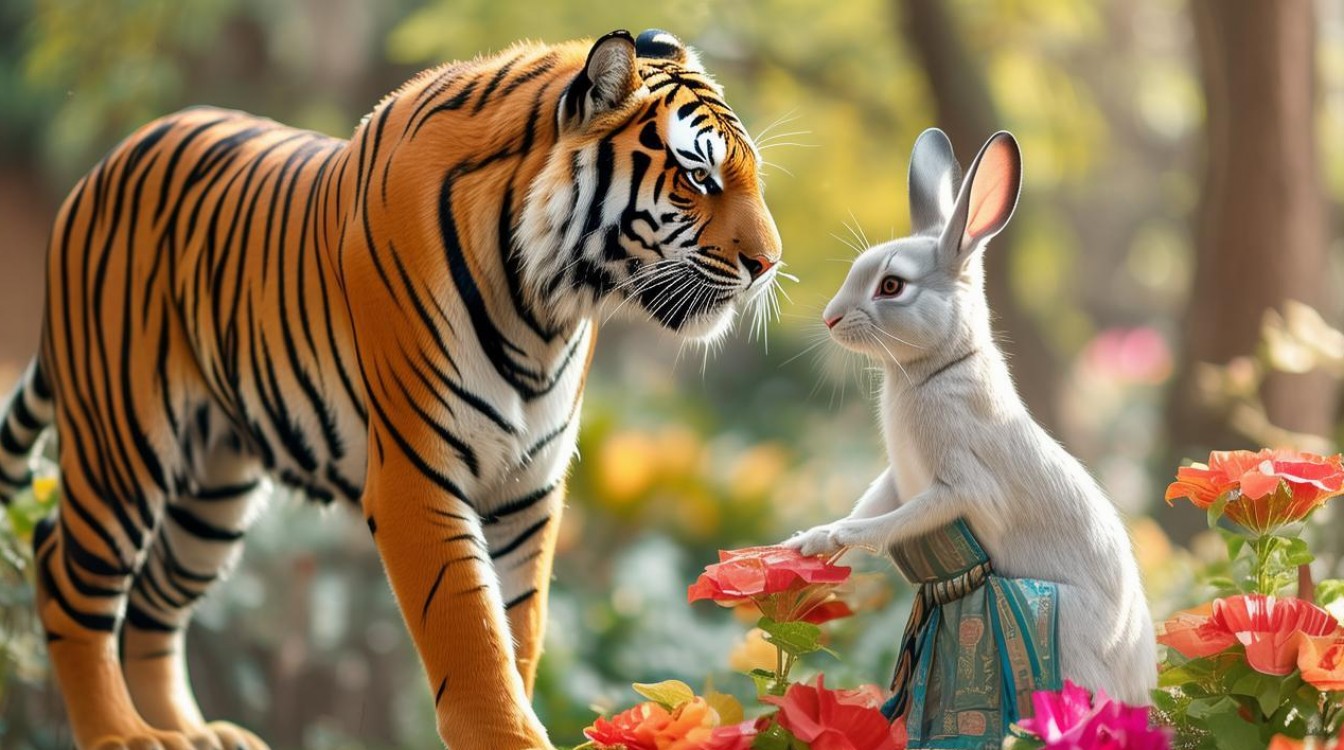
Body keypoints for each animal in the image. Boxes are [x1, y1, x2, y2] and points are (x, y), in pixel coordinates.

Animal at [0, 28, 782, 750]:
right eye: (699, 178)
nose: (769, 265)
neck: (548, 307)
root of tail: (106, 163)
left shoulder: (527, 490)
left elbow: (518, 632)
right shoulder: (417, 475)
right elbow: (473, 639)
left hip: (213, 491)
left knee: (154, 604)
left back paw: (191, 734)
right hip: (123, 440)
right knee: (63, 569)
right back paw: (121, 735)